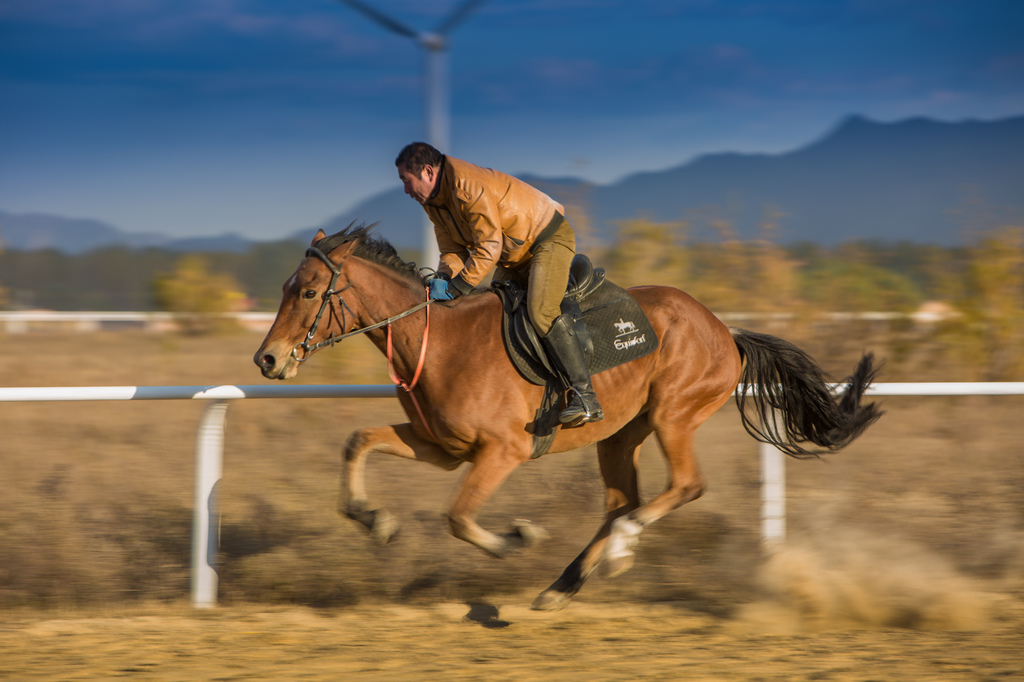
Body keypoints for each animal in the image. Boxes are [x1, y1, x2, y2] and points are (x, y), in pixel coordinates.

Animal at [253, 225, 880, 606]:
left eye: (308, 292)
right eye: (285, 286)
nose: (267, 358)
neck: (438, 340)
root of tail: (726, 331)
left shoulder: (501, 451)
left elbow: (457, 516)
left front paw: (515, 539)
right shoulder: (441, 448)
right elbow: (358, 439)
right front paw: (374, 518)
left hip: (674, 414)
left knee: (682, 486)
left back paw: (619, 551)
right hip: (620, 435)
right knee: (623, 502)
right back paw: (564, 584)